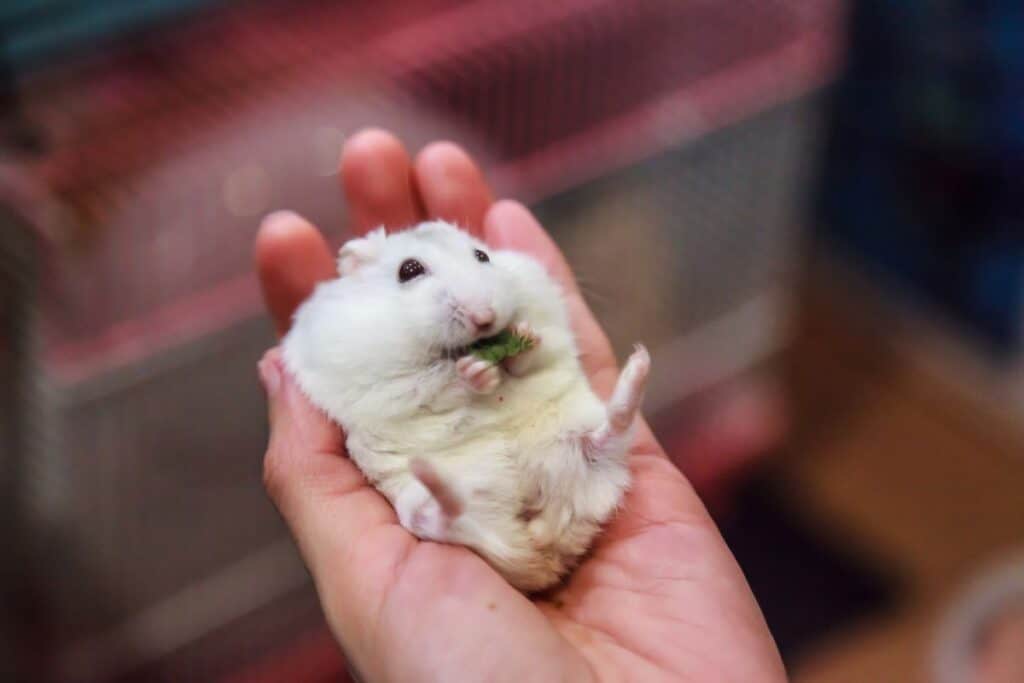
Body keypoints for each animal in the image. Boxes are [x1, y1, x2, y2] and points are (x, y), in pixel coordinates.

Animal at [282, 220, 650, 592]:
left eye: (482, 255)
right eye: (408, 270)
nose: (485, 318)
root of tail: (542, 549)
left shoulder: (548, 320)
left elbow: (532, 354)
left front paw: (522, 337)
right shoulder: (385, 381)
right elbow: (434, 385)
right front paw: (477, 374)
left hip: (578, 439)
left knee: (611, 428)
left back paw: (638, 364)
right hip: (426, 509)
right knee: (441, 517)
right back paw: (433, 478)